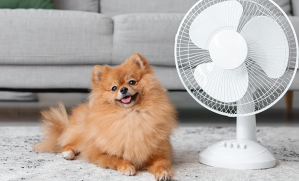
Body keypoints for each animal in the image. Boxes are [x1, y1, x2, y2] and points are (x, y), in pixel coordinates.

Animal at [34, 52, 178, 181]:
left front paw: (163, 173)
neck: (130, 116)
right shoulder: (98, 152)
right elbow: (116, 157)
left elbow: (161, 163)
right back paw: (67, 154)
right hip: (81, 135)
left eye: (132, 82)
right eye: (114, 88)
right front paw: (126, 167)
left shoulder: (160, 152)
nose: (123, 89)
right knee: (67, 143)